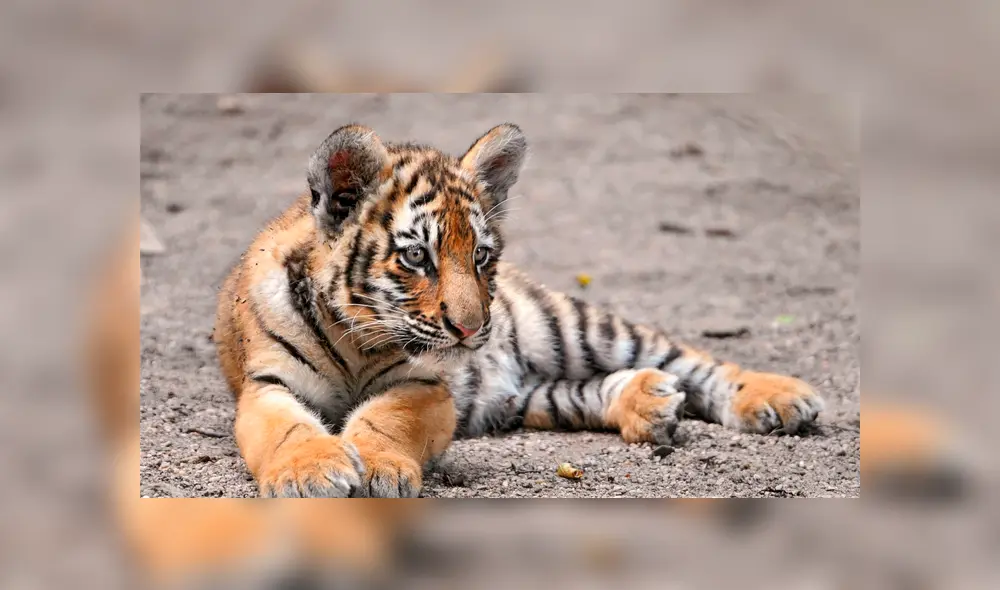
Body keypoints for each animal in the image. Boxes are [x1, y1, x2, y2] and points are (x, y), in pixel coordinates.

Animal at [213, 122, 827, 498]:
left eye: (481, 256)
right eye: (416, 256)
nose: (471, 329)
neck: (354, 341)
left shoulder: (424, 385)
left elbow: (386, 418)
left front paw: (380, 470)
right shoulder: (268, 385)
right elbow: (289, 430)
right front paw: (311, 474)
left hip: (573, 326)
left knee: (693, 360)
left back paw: (778, 399)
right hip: (527, 397)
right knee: (590, 390)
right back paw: (649, 404)